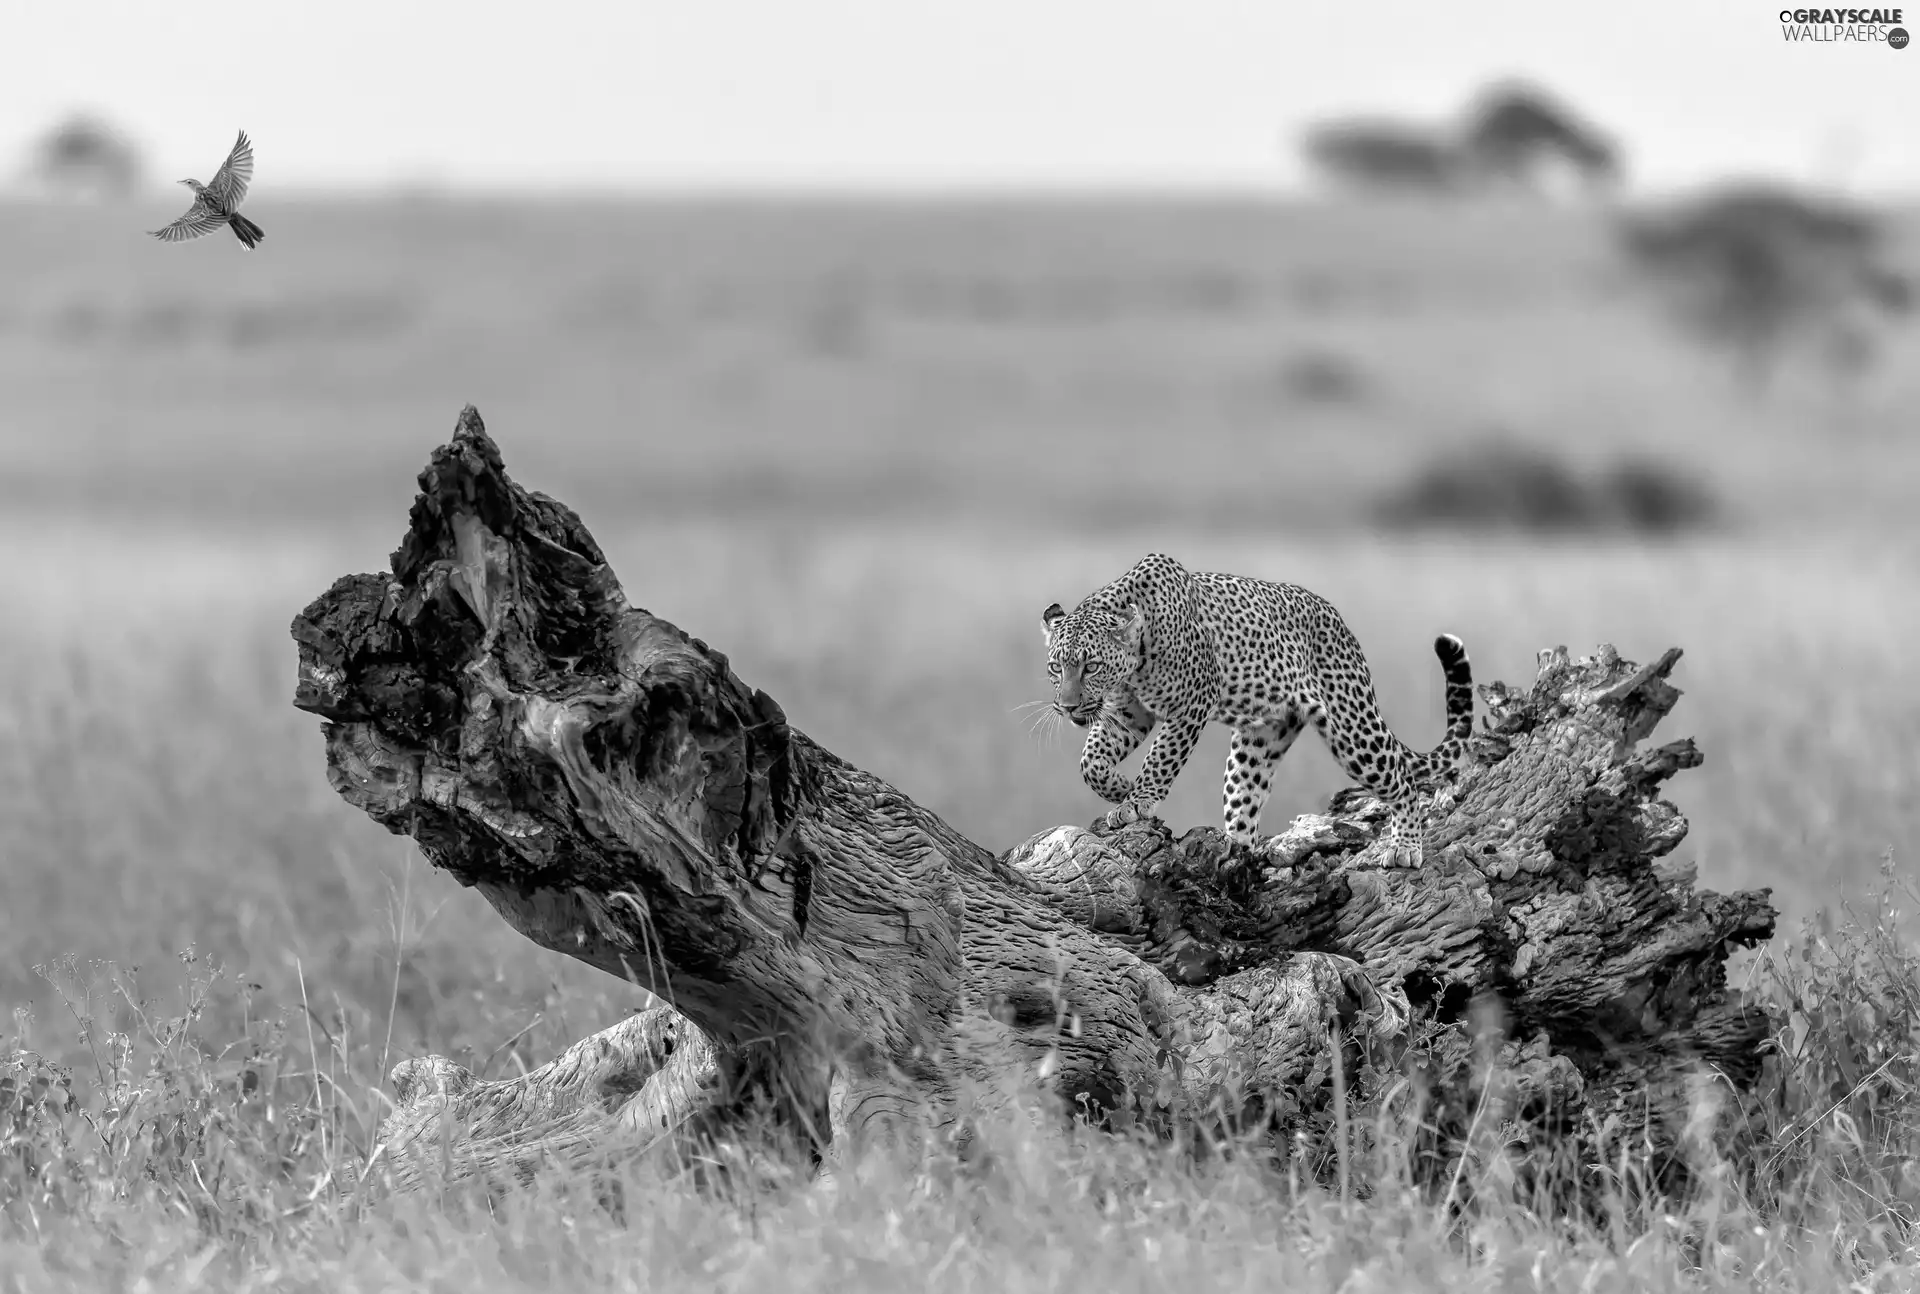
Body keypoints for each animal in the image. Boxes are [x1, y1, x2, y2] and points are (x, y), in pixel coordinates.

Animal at [1044, 549, 1474, 860]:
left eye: (1092, 666)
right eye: (1055, 667)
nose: (1066, 707)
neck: (1134, 663)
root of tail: (1341, 623)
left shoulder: (1192, 703)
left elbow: (1161, 758)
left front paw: (1139, 799)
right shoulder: (1127, 712)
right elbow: (1090, 762)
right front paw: (1120, 789)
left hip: (1353, 730)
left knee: (1403, 779)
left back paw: (1405, 847)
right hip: (1259, 742)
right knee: (1245, 802)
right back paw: (1238, 851)